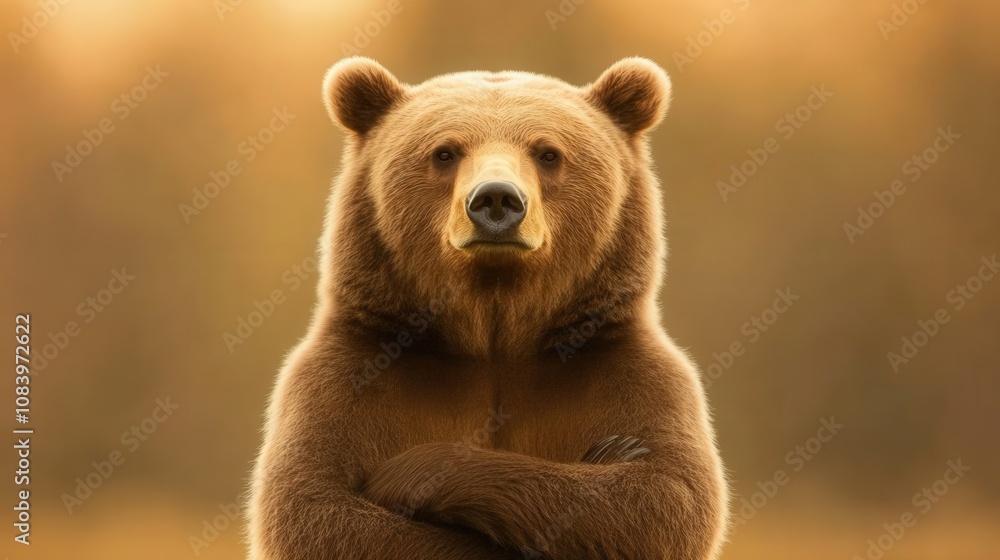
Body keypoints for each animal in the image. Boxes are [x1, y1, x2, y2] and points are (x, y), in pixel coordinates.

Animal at [248, 57, 729, 560]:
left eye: (548, 153)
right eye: (444, 152)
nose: (497, 199)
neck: (494, 330)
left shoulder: (628, 373)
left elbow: (662, 495)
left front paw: (619, 451)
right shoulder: (348, 378)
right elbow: (319, 508)